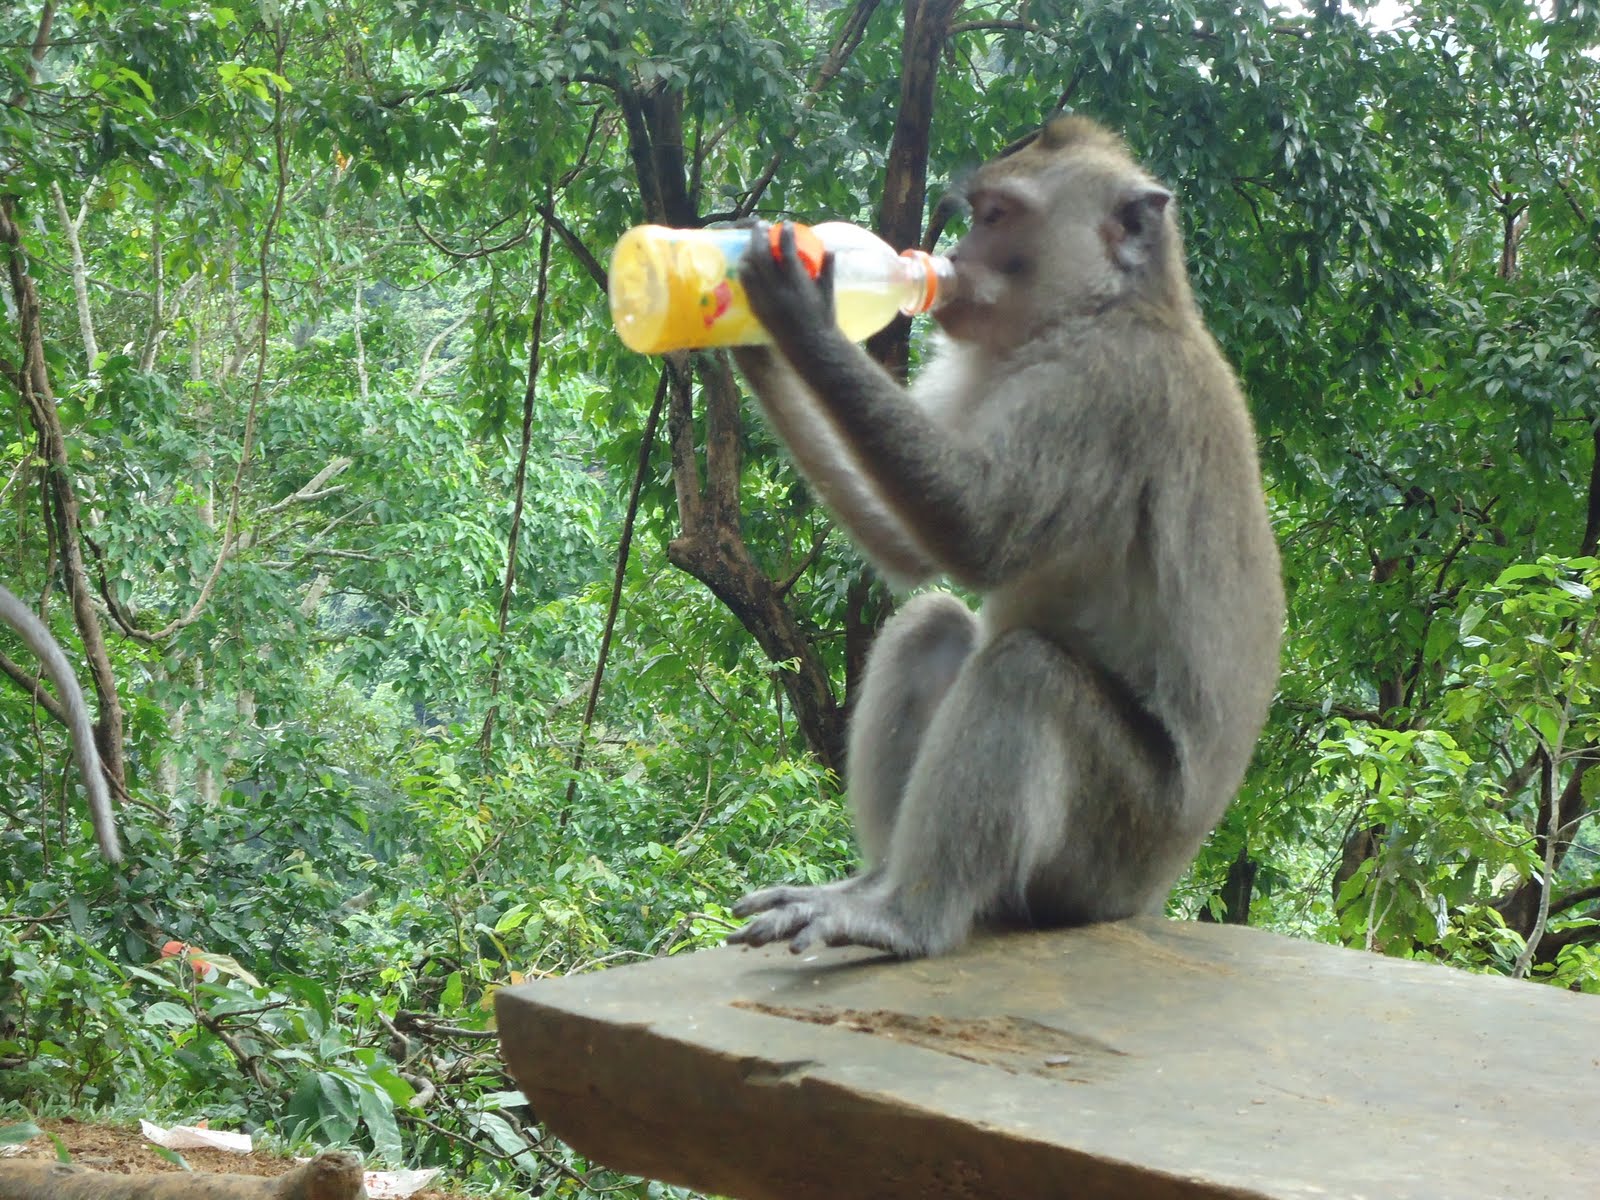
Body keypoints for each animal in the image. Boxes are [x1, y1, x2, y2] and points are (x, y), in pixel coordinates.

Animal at [732, 112, 1280, 960]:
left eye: (996, 217)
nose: (953, 258)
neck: (1101, 310)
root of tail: (1151, 892)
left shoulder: (1107, 388)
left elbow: (974, 530)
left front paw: (799, 313)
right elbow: (911, 553)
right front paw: (742, 335)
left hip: (1110, 846)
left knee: (1026, 672)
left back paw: (907, 916)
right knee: (932, 623)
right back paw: (869, 884)